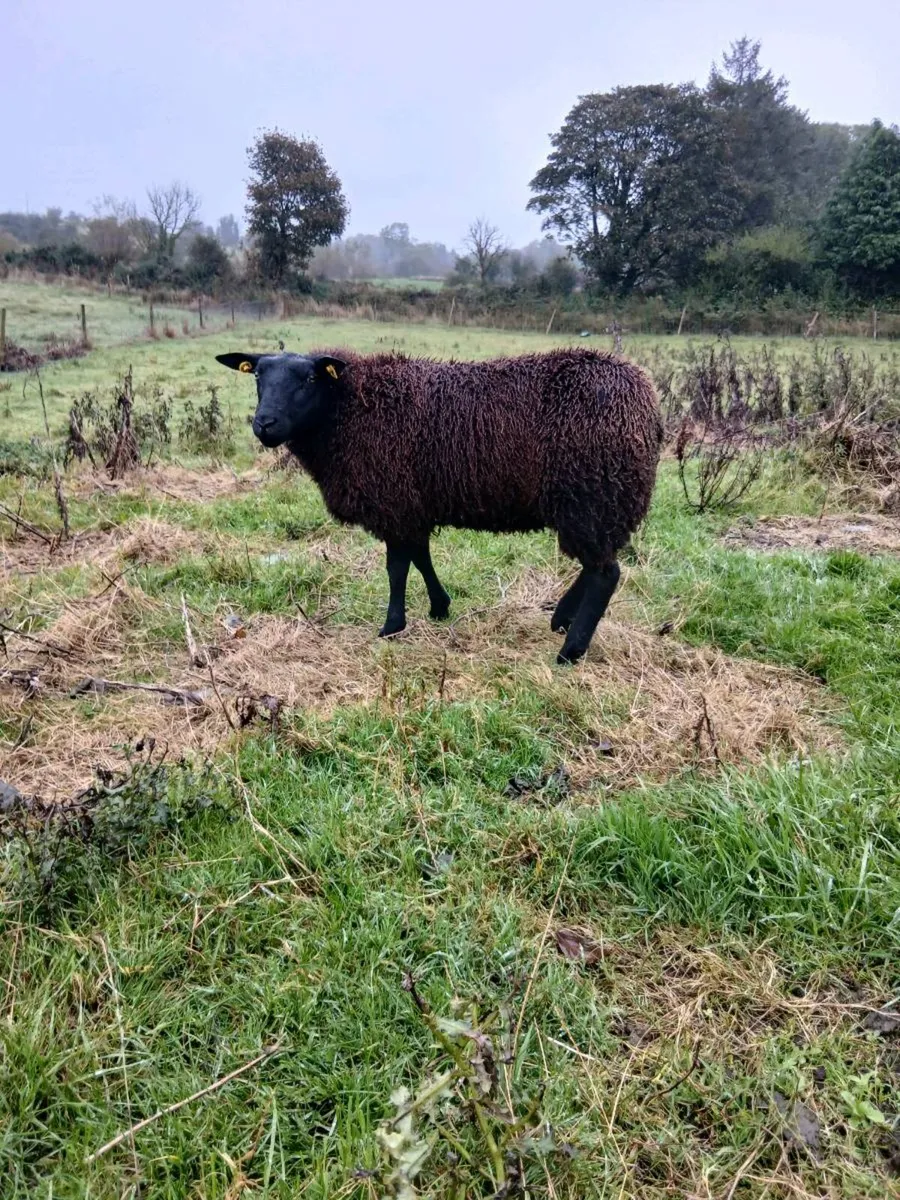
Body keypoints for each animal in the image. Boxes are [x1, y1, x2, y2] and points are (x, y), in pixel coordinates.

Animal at [216, 347, 662, 663]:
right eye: (257, 376)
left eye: (309, 378)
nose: (264, 424)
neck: (348, 410)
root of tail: (648, 404)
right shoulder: (412, 504)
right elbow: (421, 557)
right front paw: (439, 607)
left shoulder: (394, 499)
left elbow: (397, 567)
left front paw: (392, 625)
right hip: (597, 502)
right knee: (596, 563)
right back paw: (562, 619)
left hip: (592, 496)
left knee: (605, 574)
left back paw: (571, 650)